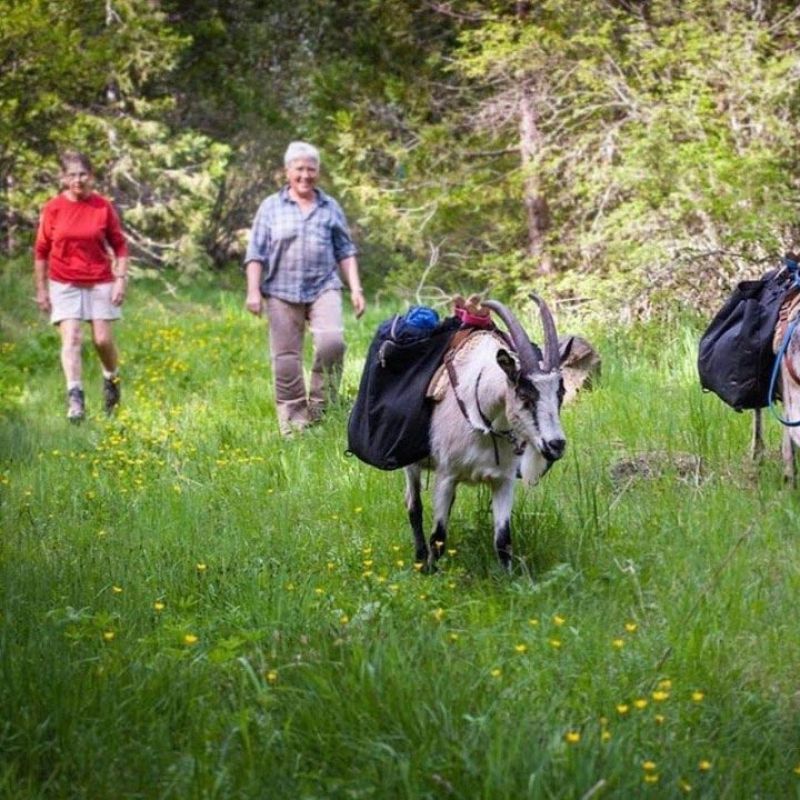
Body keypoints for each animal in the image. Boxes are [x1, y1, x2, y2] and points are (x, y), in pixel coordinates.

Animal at [404, 295, 568, 571]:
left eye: (561, 394)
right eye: (524, 395)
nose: (556, 444)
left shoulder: (503, 481)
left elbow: (503, 540)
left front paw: (509, 577)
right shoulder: (446, 475)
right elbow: (438, 537)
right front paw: (433, 573)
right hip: (411, 465)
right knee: (413, 505)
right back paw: (419, 558)